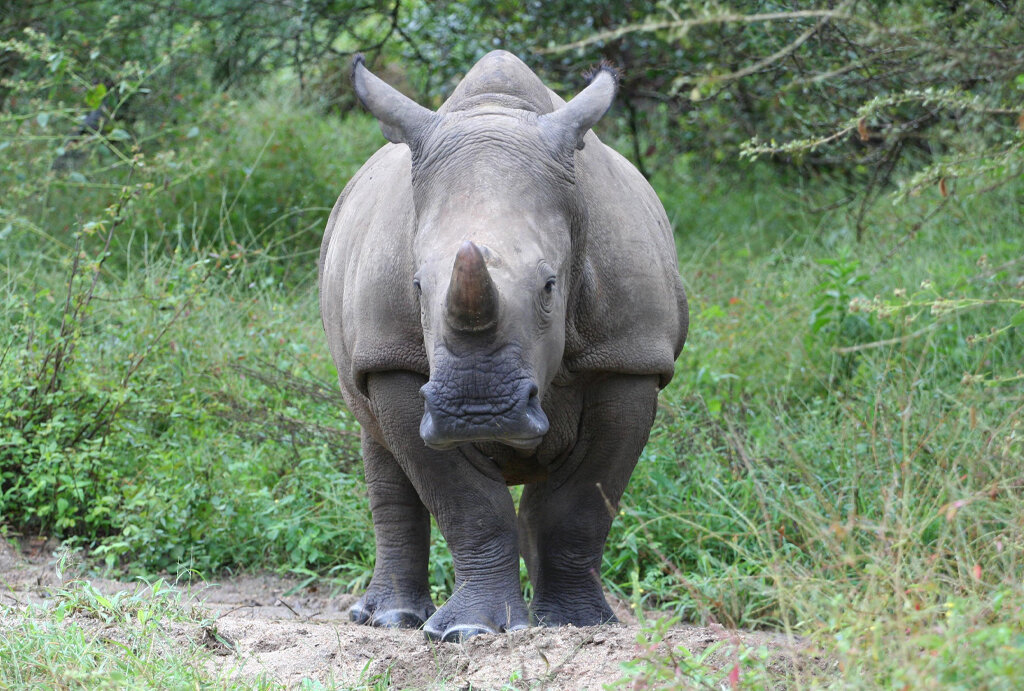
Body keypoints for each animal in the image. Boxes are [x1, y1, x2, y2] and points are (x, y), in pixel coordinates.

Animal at [319, 50, 688, 642]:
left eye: (550, 286)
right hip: (366, 350)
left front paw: (577, 624)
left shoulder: (629, 359)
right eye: (416, 286)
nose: (478, 413)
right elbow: (467, 504)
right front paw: (470, 632)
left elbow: (579, 506)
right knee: (377, 442)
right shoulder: (393, 361)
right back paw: (389, 620)